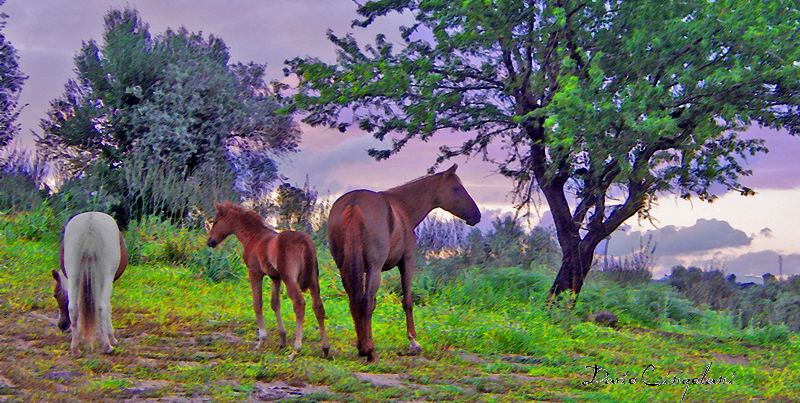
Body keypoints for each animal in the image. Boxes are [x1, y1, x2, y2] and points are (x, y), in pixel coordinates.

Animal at [51, 211, 126, 356]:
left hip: (74, 273)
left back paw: (75, 349)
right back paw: (107, 346)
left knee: (73, 308)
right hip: (106, 277)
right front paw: (112, 339)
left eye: (55, 295)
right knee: (102, 306)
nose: (62, 326)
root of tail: (90, 223)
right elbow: (107, 307)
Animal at [209, 202, 332, 360]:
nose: (209, 241)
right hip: (313, 279)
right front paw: (282, 340)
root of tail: (304, 241)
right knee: (318, 307)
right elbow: (275, 303)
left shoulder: (254, 272)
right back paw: (325, 348)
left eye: (215, 222)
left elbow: (257, 303)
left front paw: (261, 341)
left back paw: (295, 350)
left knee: (299, 304)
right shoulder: (275, 277)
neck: (254, 236)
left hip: (289, 278)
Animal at [332, 164, 482, 362]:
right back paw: (369, 351)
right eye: (456, 188)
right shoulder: (407, 263)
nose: (476, 215)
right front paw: (413, 342)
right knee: (367, 302)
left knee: (354, 302)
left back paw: (362, 348)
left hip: (345, 269)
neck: (402, 210)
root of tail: (354, 205)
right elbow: (407, 301)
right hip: (374, 269)